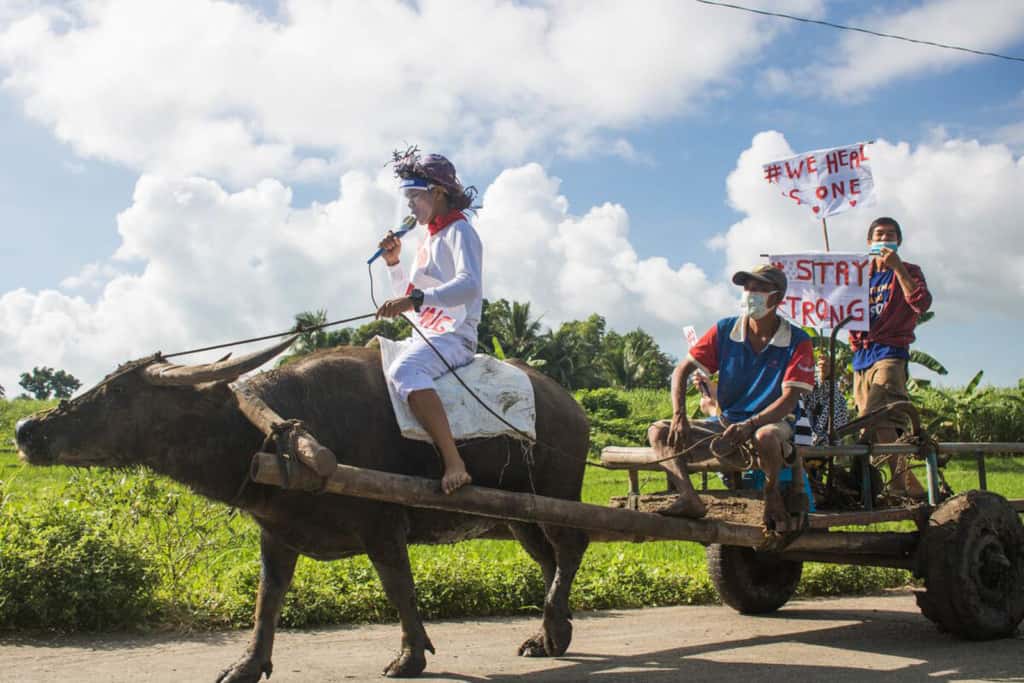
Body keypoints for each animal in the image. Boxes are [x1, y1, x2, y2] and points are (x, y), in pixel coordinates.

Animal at [14, 339, 593, 679]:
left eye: (115, 395)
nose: (26, 429)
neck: (272, 432)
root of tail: (572, 405)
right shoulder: (277, 533)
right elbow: (267, 599)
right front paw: (247, 664)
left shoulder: (383, 526)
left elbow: (399, 589)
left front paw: (410, 656)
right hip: (519, 514)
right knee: (549, 559)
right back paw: (553, 634)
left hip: (556, 497)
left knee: (572, 546)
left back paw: (550, 626)